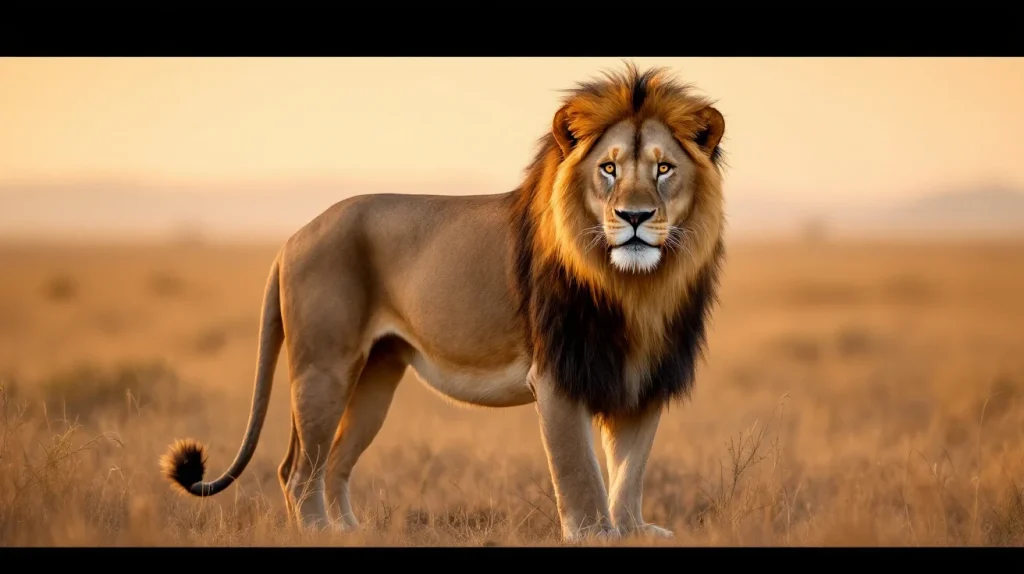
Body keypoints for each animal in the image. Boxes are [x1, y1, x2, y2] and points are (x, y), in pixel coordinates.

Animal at [160, 62, 727, 543]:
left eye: (663, 169)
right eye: (608, 168)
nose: (634, 216)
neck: (636, 288)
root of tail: (291, 239)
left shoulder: (645, 378)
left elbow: (630, 470)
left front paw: (632, 531)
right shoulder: (557, 375)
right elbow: (579, 470)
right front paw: (594, 535)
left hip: (376, 377)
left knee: (333, 462)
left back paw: (352, 532)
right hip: (324, 368)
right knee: (299, 471)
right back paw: (319, 533)